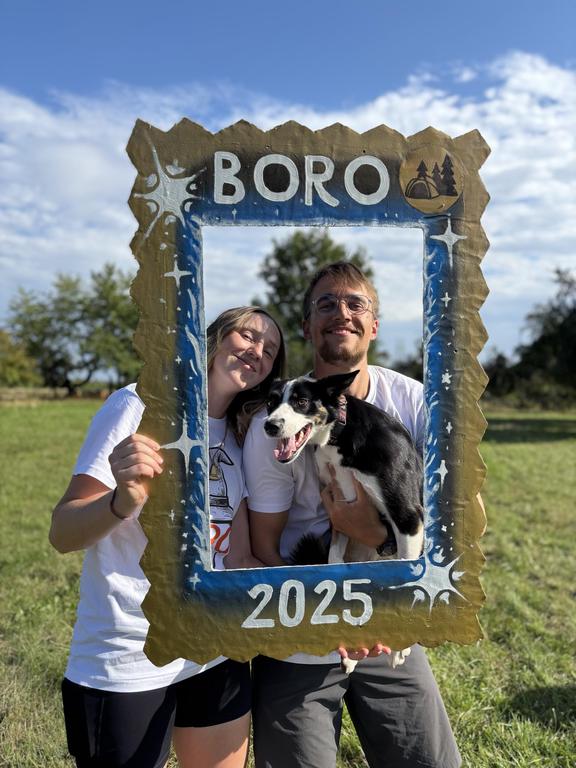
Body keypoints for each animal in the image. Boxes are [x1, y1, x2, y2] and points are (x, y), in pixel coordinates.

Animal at [264, 369, 424, 671]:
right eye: (271, 402)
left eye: (302, 402)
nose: (269, 426)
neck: (338, 433)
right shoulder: (339, 516)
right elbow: (334, 568)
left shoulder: (408, 517)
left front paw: (401, 648)